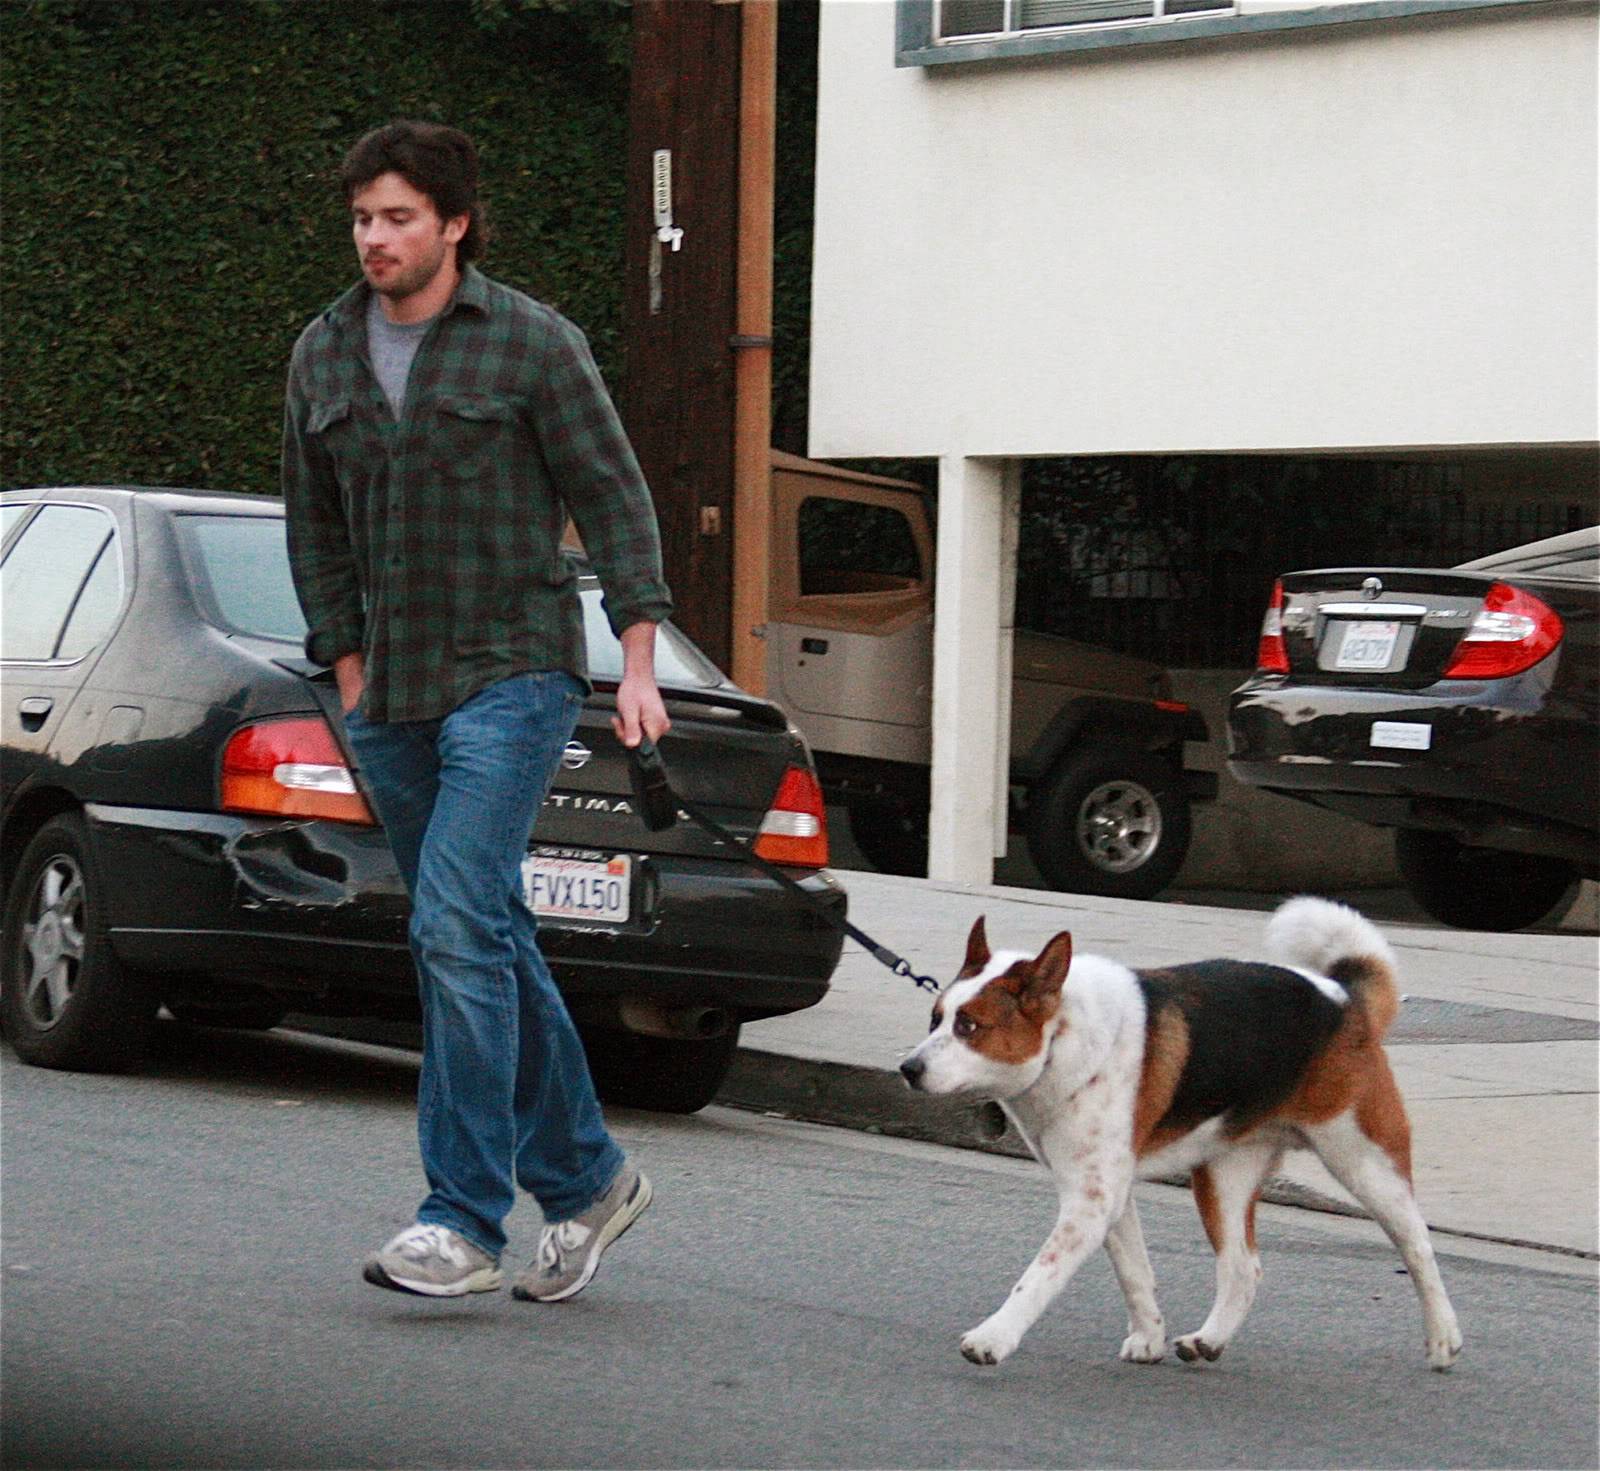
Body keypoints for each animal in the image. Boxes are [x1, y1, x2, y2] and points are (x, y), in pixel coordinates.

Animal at [902, 896, 1465, 1382]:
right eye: (935, 1019)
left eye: (969, 1026)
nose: (908, 1069)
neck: (1063, 1039)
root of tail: (1344, 999)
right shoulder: (1106, 1195)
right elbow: (1134, 1271)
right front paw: (1149, 1337)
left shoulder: (1089, 1202)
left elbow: (1038, 1276)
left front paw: (992, 1339)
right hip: (1222, 1177)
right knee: (1243, 1269)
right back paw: (1208, 1340)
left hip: (1365, 1162)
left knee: (1417, 1246)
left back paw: (1443, 1339)